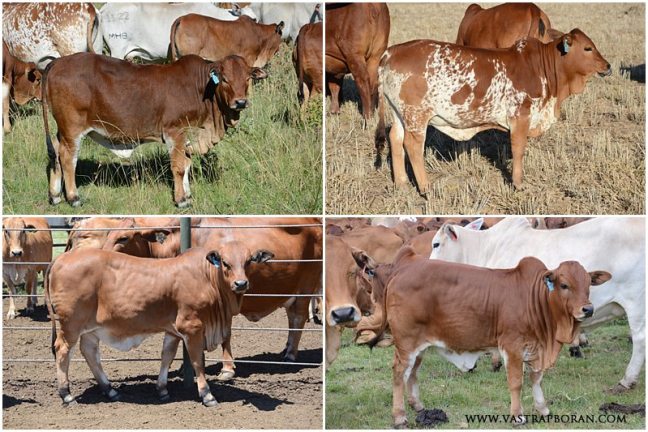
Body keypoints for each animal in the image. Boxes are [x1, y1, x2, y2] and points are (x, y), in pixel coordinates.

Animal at [41, 53, 267, 208]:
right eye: (225, 78)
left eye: (248, 78)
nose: (240, 102)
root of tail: (58, 62)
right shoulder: (174, 132)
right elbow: (179, 167)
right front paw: (181, 200)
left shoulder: (187, 135)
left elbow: (186, 164)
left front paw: (187, 195)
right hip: (72, 129)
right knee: (67, 158)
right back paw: (73, 197)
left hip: (63, 130)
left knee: (55, 152)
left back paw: (55, 195)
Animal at [45, 245, 274, 406]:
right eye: (225, 263)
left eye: (249, 261)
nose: (241, 284)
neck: (208, 278)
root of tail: (61, 258)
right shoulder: (192, 327)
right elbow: (197, 362)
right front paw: (207, 395)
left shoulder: (172, 330)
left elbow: (167, 356)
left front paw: (162, 390)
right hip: (71, 324)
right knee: (63, 350)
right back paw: (66, 395)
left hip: (90, 328)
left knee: (90, 352)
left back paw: (110, 390)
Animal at [364, 247, 610, 427]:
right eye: (564, 285)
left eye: (588, 285)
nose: (588, 309)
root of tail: (400, 271)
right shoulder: (512, 346)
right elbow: (516, 382)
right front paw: (518, 416)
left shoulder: (536, 349)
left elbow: (536, 379)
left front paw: (543, 409)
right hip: (406, 343)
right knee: (399, 373)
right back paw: (399, 416)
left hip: (420, 345)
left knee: (412, 373)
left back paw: (418, 407)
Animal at [375, 29, 611, 194]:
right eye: (588, 48)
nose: (608, 66)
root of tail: (391, 52)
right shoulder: (520, 116)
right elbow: (518, 150)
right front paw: (518, 184)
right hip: (417, 116)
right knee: (412, 145)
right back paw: (425, 188)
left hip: (400, 114)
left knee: (395, 139)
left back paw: (401, 183)